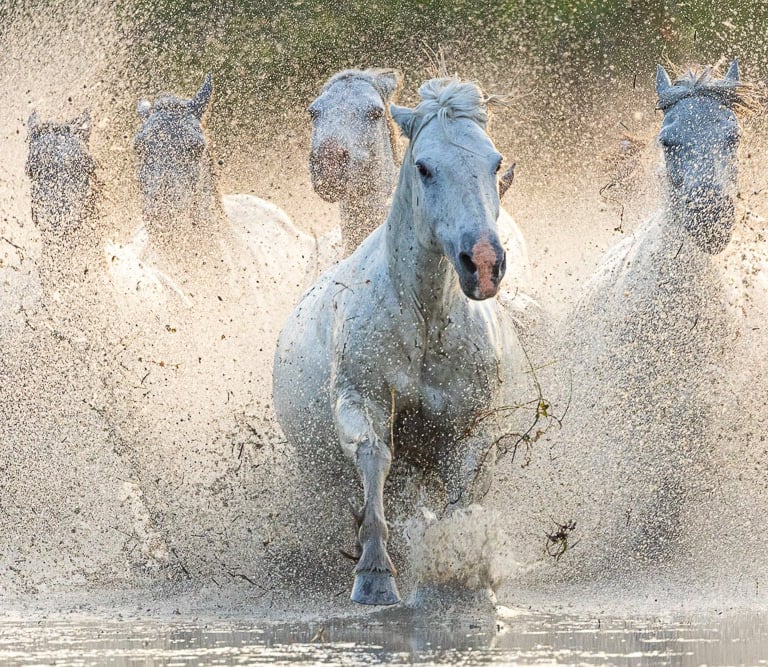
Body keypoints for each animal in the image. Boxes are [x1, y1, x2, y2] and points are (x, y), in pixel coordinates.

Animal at [273, 76, 533, 605]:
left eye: (494, 163)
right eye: (424, 167)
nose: (483, 262)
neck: (423, 320)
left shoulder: (470, 429)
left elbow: (463, 493)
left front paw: (461, 573)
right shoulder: (362, 399)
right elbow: (375, 458)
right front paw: (374, 575)